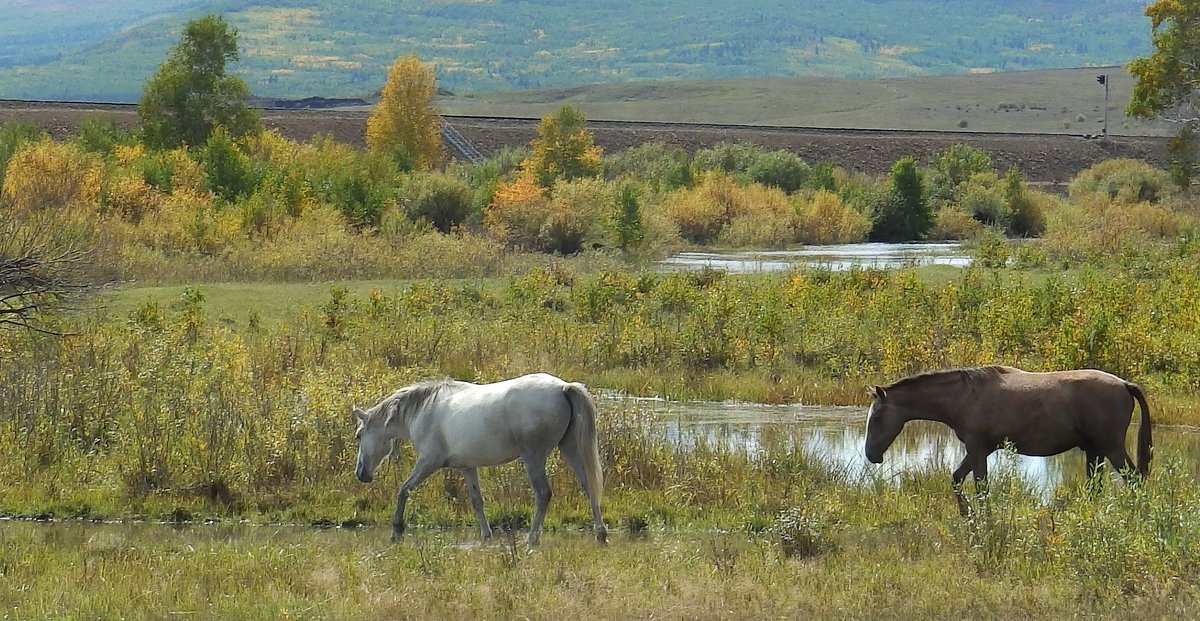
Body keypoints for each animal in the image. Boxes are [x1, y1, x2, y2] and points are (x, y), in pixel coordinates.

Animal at [350, 374, 604, 546]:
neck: (423, 410)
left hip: (534, 457)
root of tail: (562, 387)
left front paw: (396, 530)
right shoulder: (467, 467)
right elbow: (477, 501)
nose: (361, 474)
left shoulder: (428, 462)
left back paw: (532, 538)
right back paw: (600, 534)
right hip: (570, 450)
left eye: (359, 435)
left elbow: (404, 490)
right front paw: (486, 535)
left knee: (543, 494)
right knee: (589, 487)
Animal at [864, 364, 1152, 515]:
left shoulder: (978, 449)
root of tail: (1124, 384)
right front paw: (967, 514)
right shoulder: (979, 450)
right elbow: (957, 479)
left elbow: (981, 488)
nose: (871, 455)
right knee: (1095, 487)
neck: (964, 397)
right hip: (1094, 451)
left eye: (876, 418)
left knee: (1135, 480)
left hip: (1111, 448)